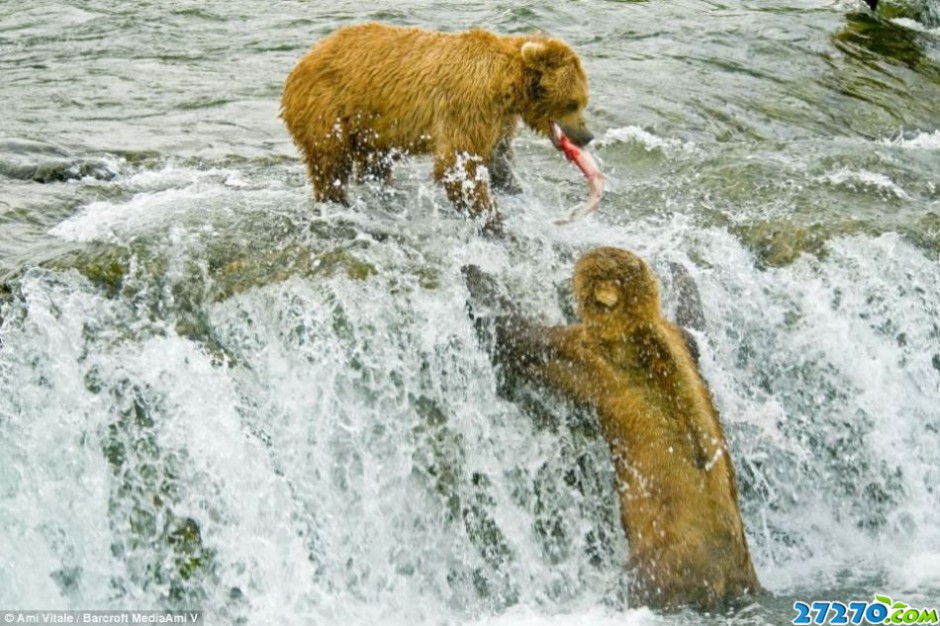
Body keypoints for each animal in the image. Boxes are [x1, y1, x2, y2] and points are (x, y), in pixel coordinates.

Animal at [280, 22, 592, 233]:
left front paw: (514, 190)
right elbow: (459, 164)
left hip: (369, 125)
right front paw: (493, 222)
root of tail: (300, 64)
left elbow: (498, 158)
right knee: (330, 163)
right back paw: (337, 202)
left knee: (373, 163)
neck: (505, 85)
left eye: (583, 101)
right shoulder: (468, 107)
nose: (587, 136)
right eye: (572, 103)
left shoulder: (499, 120)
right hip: (328, 108)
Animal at [462, 246, 764, 608]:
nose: (566, 276)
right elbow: (695, 327)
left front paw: (475, 276)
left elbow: (520, 337)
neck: (636, 334)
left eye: (579, 270)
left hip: (658, 567)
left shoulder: (587, 358)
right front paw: (679, 272)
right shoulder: (680, 341)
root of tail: (723, 573)